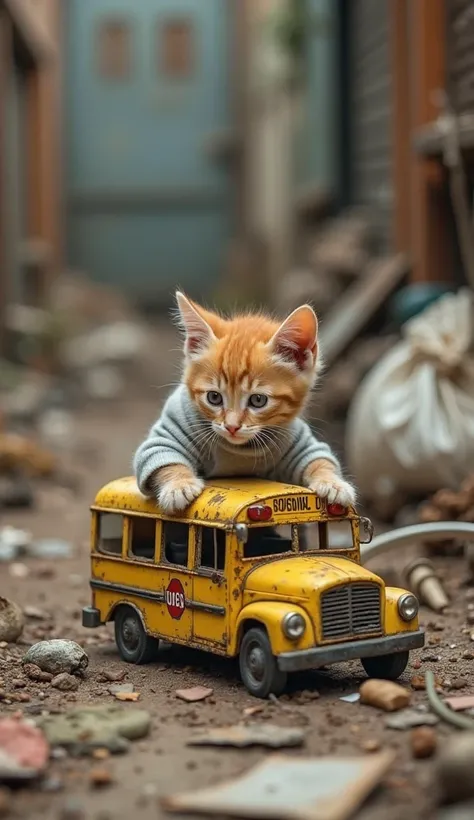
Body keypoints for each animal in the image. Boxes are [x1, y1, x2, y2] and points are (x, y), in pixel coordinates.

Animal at [133, 294, 356, 512]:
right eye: (214, 397)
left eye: (258, 400)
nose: (231, 427)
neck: (239, 449)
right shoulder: (170, 431)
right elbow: (162, 455)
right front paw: (179, 486)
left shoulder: (296, 441)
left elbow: (318, 459)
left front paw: (333, 483)